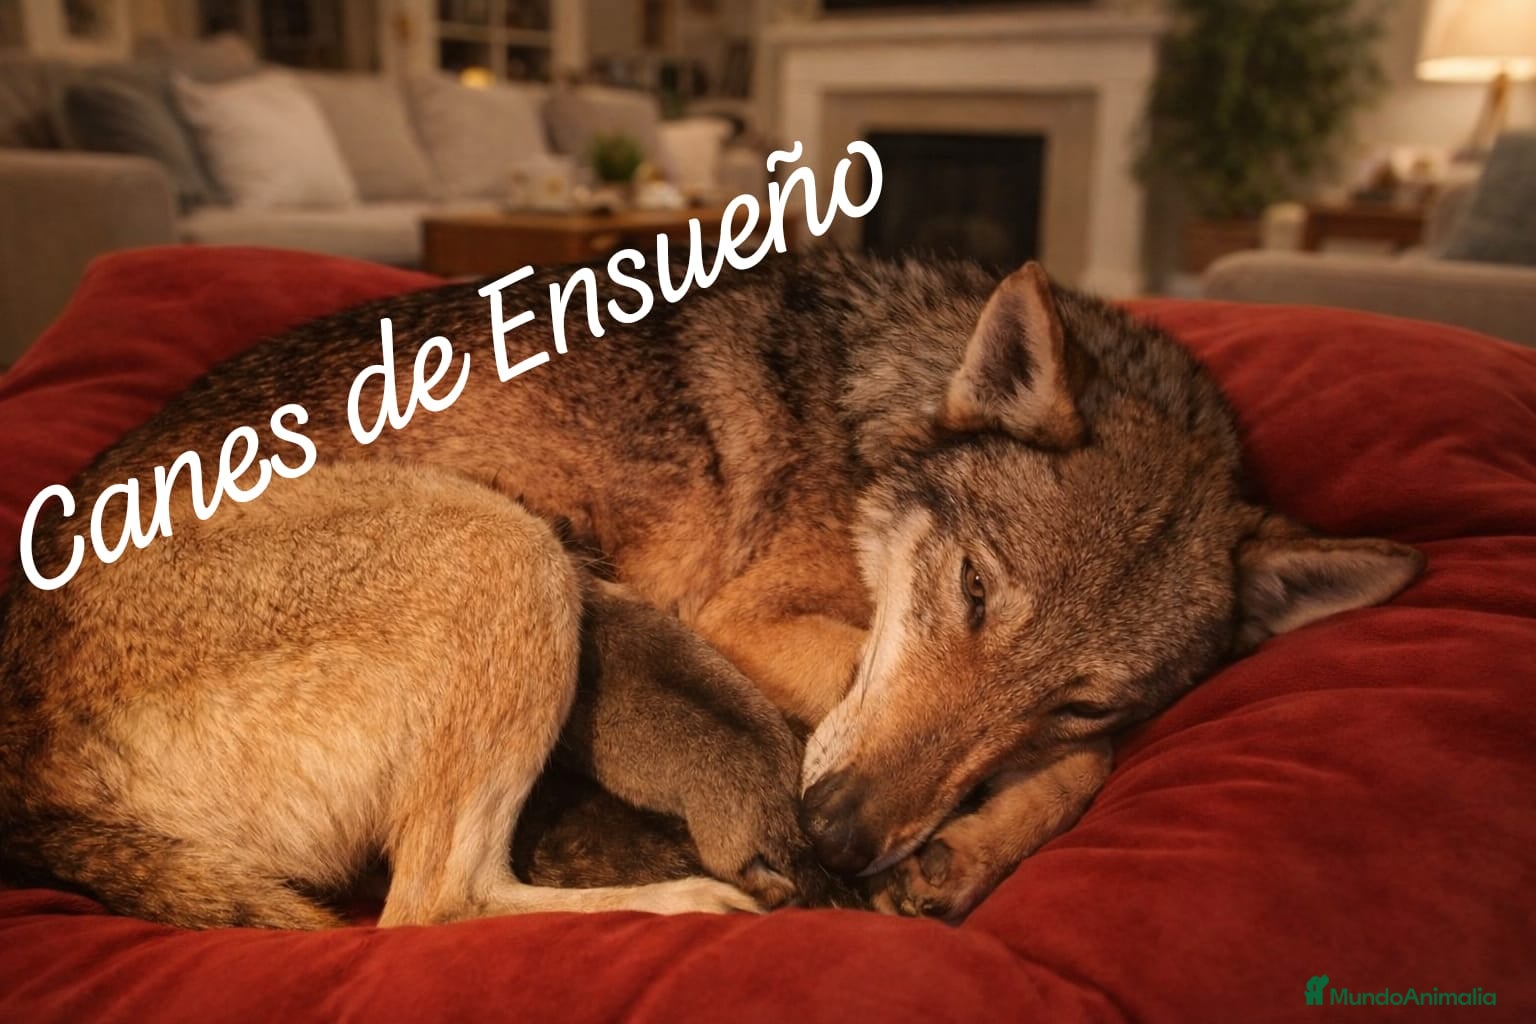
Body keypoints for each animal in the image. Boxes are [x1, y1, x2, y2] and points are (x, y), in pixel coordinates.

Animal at [3, 250, 1424, 922]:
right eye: (971, 590)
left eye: (1075, 694)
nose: (840, 836)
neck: (878, 414)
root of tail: (32, 765)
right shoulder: (748, 622)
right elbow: (1036, 753)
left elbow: (1080, 765)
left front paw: (961, 850)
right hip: (504, 554)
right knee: (429, 907)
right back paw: (697, 897)